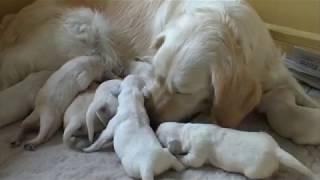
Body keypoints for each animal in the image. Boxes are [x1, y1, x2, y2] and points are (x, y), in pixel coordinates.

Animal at [156, 122, 316, 180]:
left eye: (158, 135)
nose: (156, 127)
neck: (185, 130)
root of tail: (275, 149)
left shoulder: (198, 149)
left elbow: (193, 160)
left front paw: (177, 157)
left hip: (254, 170)